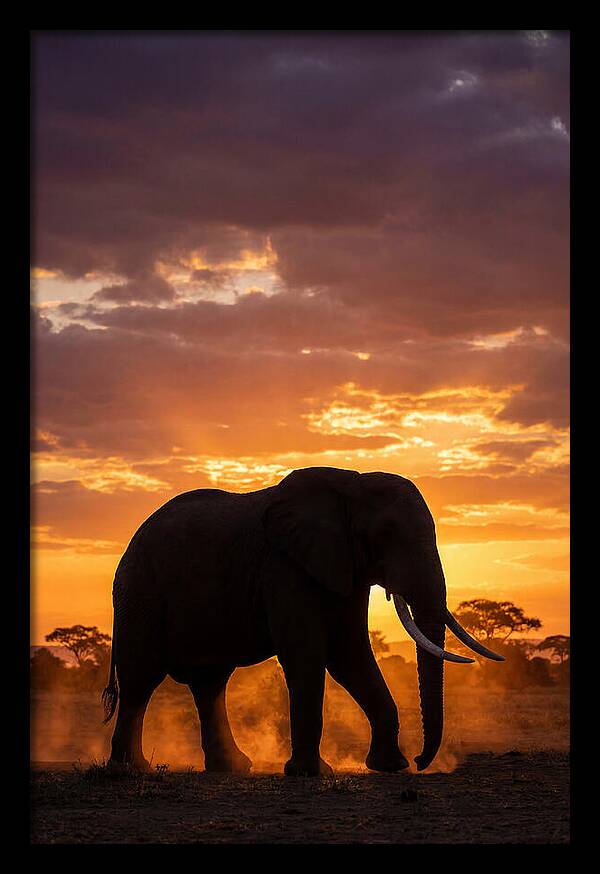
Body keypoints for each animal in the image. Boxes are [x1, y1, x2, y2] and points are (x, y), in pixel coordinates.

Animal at [102, 466, 502, 776]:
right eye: (385, 534)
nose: (421, 761)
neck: (351, 483)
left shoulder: (343, 567)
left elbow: (350, 655)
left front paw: (391, 767)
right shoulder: (284, 566)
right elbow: (308, 654)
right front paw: (309, 772)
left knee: (209, 683)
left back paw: (232, 767)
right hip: (140, 593)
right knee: (141, 680)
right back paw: (129, 770)